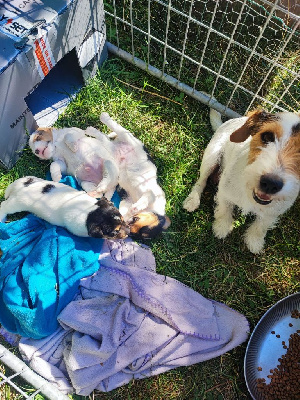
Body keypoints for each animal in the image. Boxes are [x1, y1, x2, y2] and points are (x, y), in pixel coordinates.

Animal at [0, 177, 129, 239]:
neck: (89, 211)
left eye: (123, 220)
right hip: (17, 204)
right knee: (4, 206)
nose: (129, 231)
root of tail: (21, 185)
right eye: (114, 232)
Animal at [183, 109, 300, 253]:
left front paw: (254, 241)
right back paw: (192, 200)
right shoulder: (224, 192)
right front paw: (222, 227)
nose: (270, 183)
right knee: (201, 180)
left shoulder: (273, 212)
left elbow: (262, 225)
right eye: (267, 137)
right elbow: (224, 209)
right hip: (211, 156)